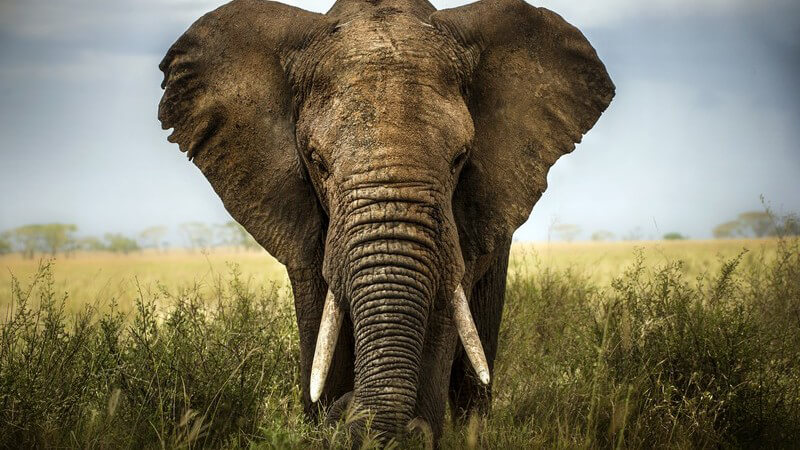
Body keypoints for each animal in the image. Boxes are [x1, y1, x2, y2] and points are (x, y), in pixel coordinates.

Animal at [158, 0, 613, 443]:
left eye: (460, 158)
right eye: (317, 161)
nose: (346, 410)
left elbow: (443, 313)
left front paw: (414, 430)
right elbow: (319, 320)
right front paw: (326, 417)